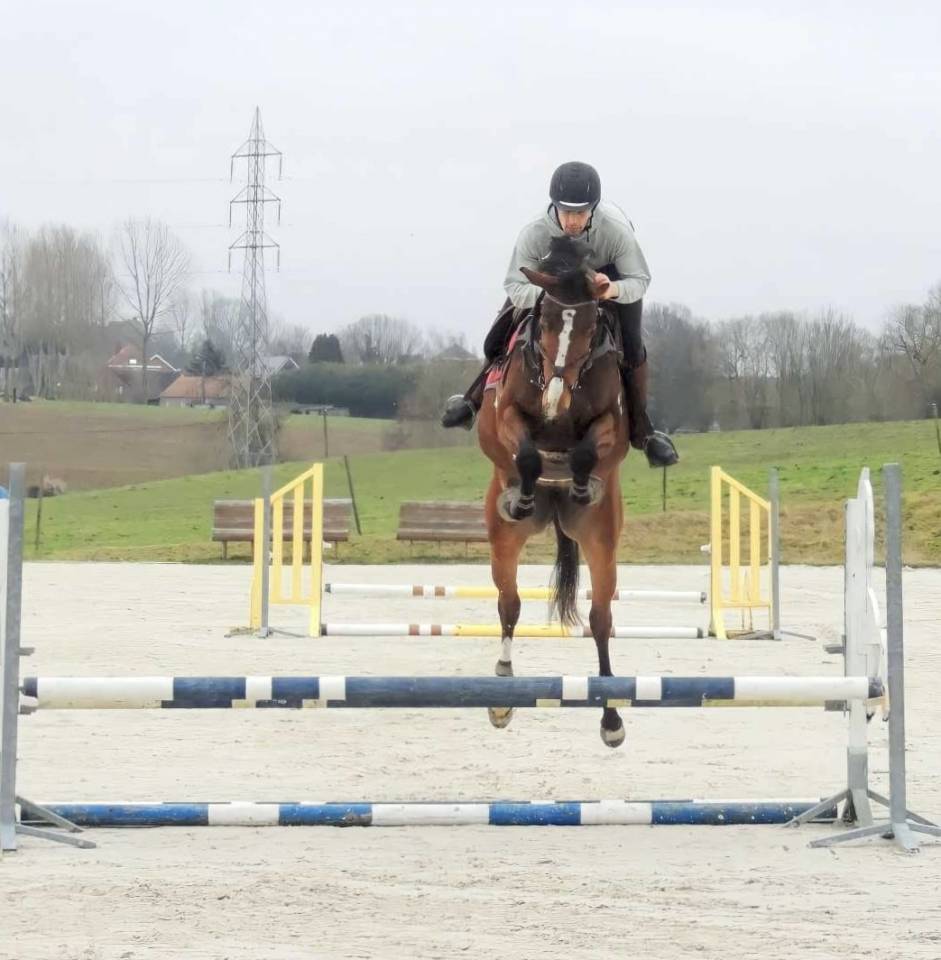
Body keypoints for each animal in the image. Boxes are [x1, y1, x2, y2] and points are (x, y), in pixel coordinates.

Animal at [477, 235, 631, 747]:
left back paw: (611, 717)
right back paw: (502, 695)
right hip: (504, 540)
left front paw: (580, 480)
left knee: (600, 619)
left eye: (590, 325)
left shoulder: (611, 423)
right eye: (542, 318)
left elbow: (585, 452)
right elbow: (524, 452)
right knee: (509, 605)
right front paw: (524, 491)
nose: (556, 397)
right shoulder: (504, 413)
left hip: (600, 540)